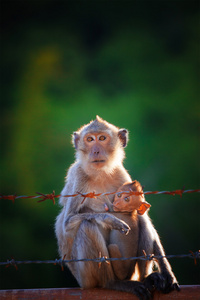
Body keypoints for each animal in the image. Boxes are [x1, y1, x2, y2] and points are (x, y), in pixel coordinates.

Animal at [55, 116, 180, 298]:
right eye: (90, 139)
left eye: (102, 138)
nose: (96, 151)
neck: (100, 173)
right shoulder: (78, 176)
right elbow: (68, 222)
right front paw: (109, 219)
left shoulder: (121, 175)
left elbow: (140, 212)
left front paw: (167, 272)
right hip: (86, 278)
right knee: (87, 226)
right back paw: (113, 283)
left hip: (130, 269)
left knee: (141, 222)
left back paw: (147, 279)